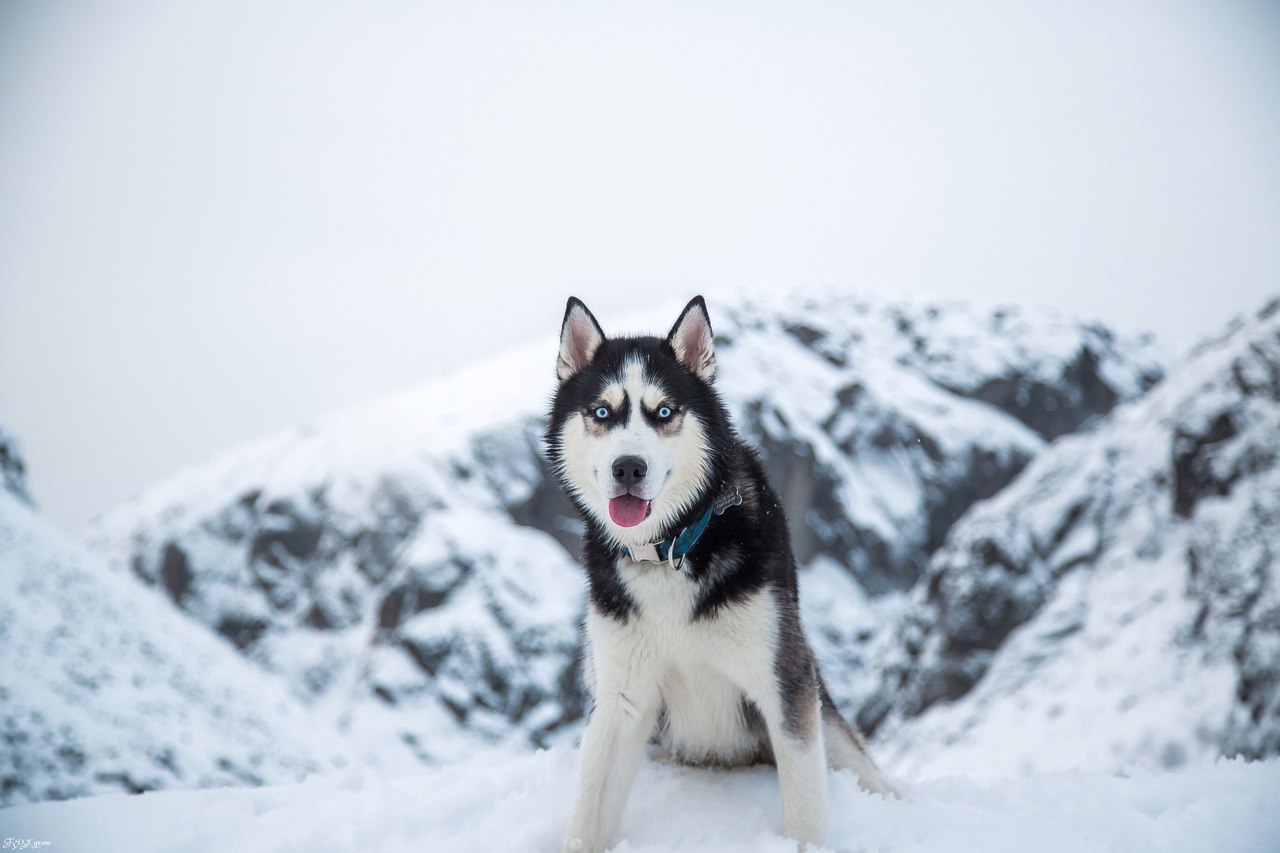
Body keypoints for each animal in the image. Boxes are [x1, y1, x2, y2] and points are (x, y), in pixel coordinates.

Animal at [550, 295, 901, 845]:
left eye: (664, 411)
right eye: (602, 412)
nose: (628, 467)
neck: (671, 550)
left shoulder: (783, 680)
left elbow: (804, 806)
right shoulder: (620, 698)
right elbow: (588, 815)